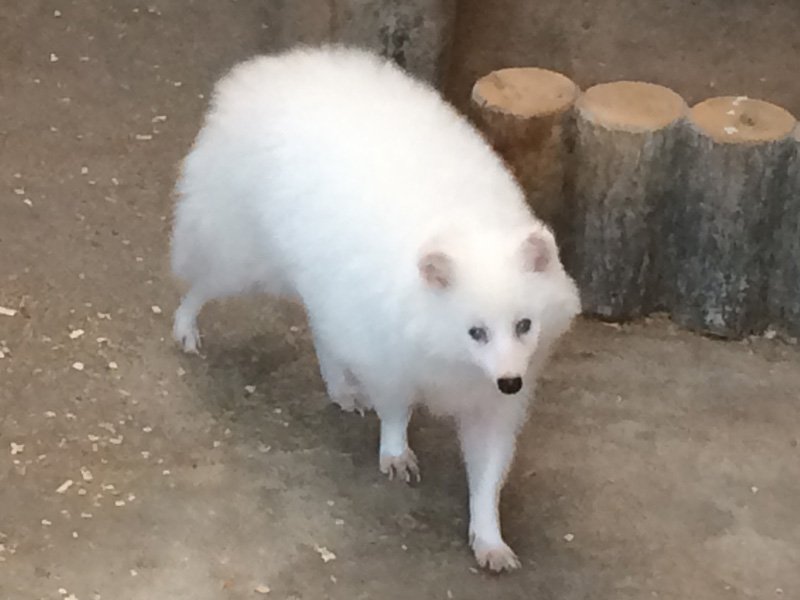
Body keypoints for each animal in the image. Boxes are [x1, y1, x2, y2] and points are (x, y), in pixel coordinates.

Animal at [172, 45, 580, 572]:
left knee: (320, 331)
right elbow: (395, 410)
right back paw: (186, 329)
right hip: (243, 258)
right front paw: (395, 451)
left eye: (525, 325)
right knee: (201, 284)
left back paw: (340, 387)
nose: (511, 382)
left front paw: (489, 539)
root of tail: (264, 72)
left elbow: (488, 477)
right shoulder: (385, 354)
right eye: (476, 332)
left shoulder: (491, 402)